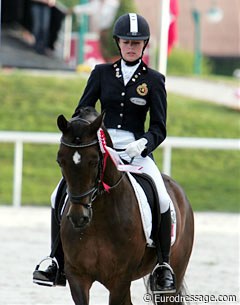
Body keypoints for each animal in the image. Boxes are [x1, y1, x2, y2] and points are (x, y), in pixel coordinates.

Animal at [57, 110, 194, 304]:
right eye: (60, 161)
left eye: (94, 161)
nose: (78, 217)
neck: (98, 220)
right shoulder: (77, 275)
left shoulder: (120, 279)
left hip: (175, 273)